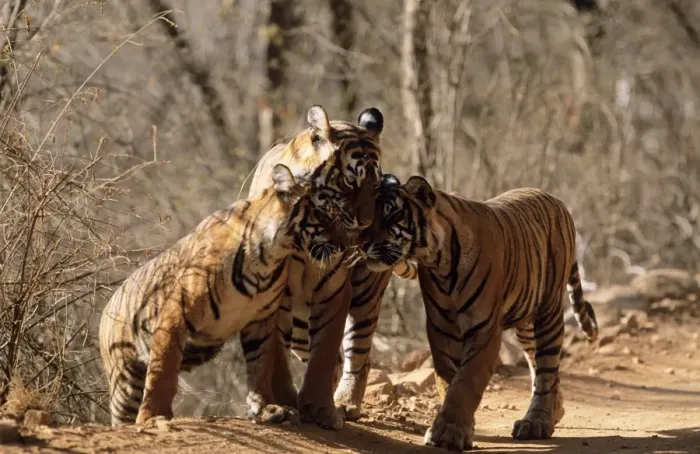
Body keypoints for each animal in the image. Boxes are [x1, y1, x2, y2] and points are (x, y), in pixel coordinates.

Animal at [98, 164, 344, 426]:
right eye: (325, 216)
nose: (344, 246)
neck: (271, 254)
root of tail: (106, 307)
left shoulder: (260, 319)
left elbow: (261, 364)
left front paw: (268, 407)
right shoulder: (175, 315)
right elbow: (164, 370)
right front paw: (153, 417)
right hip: (125, 381)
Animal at [241, 104, 387, 430]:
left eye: (376, 186)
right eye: (350, 184)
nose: (368, 224)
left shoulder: (334, 289)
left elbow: (325, 352)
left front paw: (322, 410)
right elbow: (274, 355)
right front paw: (282, 404)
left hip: (366, 291)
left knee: (359, 352)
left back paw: (345, 402)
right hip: (298, 327)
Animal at [358, 174, 599, 451]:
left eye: (390, 215)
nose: (361, 243)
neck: (438, 261)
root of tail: (556, 200)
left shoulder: (484, 329)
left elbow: (466, 382)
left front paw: (448, 433)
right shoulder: (442, 329)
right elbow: (447, 381)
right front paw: (459, 429)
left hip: (548, 312)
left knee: (547, 369)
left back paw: (537, 421)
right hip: (527, 323)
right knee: (537, 365)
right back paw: (554, 412)